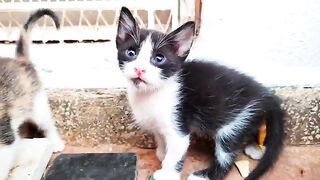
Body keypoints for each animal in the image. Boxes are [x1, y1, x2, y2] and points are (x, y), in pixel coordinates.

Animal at [116, 6, 284, 179]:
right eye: (131, 53)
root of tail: (266, 96)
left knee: (227, 155)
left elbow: (176, 151)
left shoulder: (178, 124)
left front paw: (167, 173)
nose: (139, 69)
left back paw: (203, 175)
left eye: (159, 58)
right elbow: (161, 138)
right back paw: (255, 148)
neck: (152, 92)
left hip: (233, 124)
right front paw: (162, 153)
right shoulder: (157, 124)